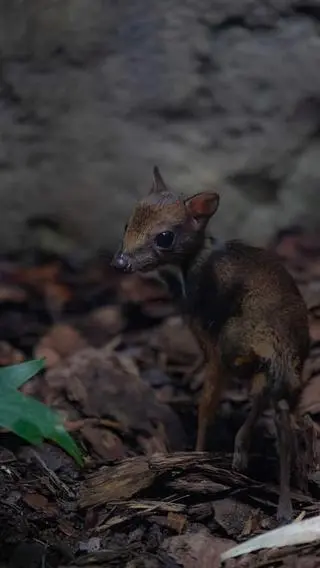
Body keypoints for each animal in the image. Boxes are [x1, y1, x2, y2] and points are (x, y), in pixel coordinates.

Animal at [112, 165, 310, 524]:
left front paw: (197, 455)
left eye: (165, 237)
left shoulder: (210, 341)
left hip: (234, 348)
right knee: (278, 415)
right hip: (286, 375)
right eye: (126, 224)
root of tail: (279, 349)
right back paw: (279, 499)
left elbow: (207, 404)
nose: (120, 263)